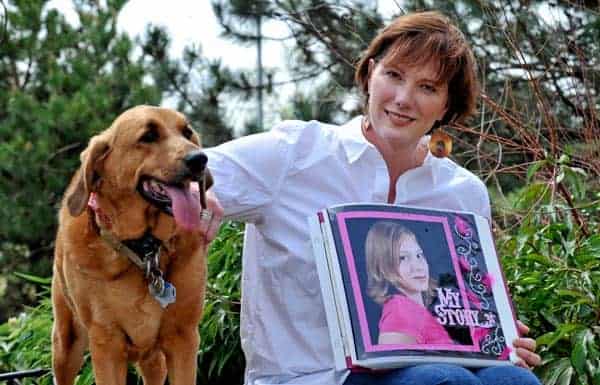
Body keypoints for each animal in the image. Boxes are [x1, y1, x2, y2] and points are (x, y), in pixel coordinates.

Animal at [52, 105, 213, 384]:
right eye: (148, 136)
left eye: (187, 133)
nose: (200, 159)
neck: (144, 249)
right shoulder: (106, 344)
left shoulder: (184, 338)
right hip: (65, 343)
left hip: (153, 358)